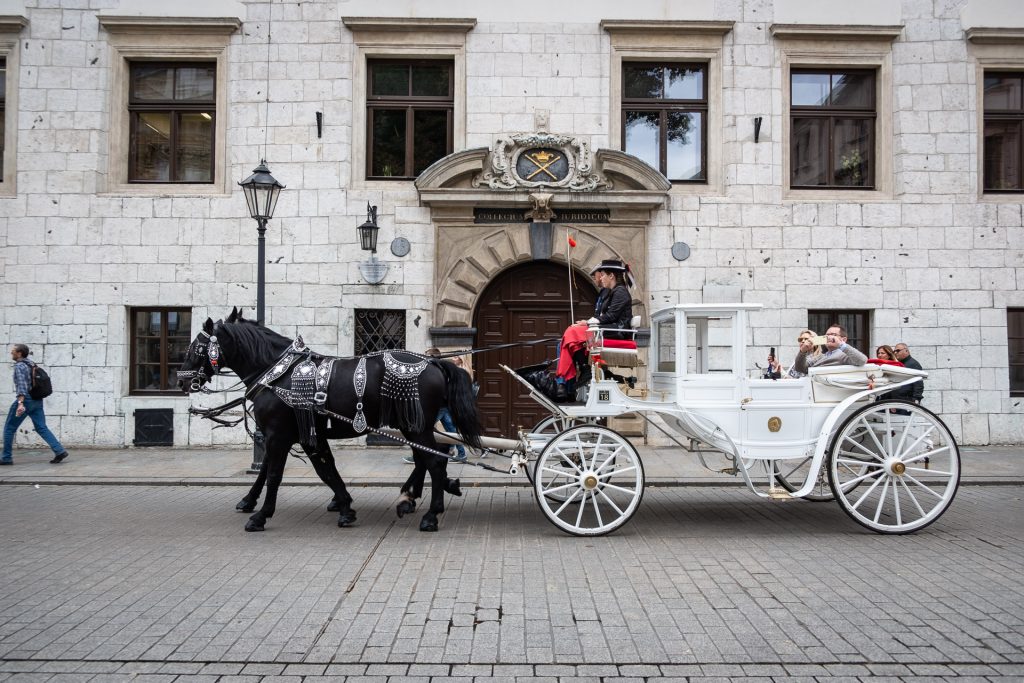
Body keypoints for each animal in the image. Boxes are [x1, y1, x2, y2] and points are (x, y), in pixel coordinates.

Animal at [176, 309, 479, 532]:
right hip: (413, 426)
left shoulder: (279, 434)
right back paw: (412, 498)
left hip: (415, 426)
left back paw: (431, 515)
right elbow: (324, 470)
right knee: (425, 459)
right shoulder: (301, 434)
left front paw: (261, 515)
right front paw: (343, 506)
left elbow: (275, 474)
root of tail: (434, 363)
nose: (183, 381)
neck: (278, 374)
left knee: (435, 462)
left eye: (195, 347)